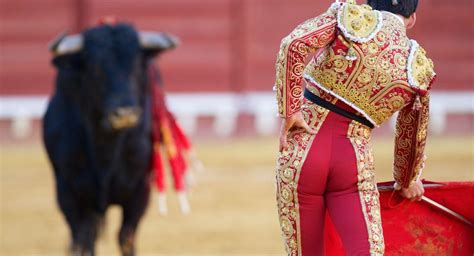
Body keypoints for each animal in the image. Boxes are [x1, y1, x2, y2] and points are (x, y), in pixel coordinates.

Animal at [43, 23, 177, 255]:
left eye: (137, 64)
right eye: (96, 67)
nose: (125, 114)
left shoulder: (139, 193)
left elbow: (126, 239)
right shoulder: (68, 194)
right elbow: (82, 240)